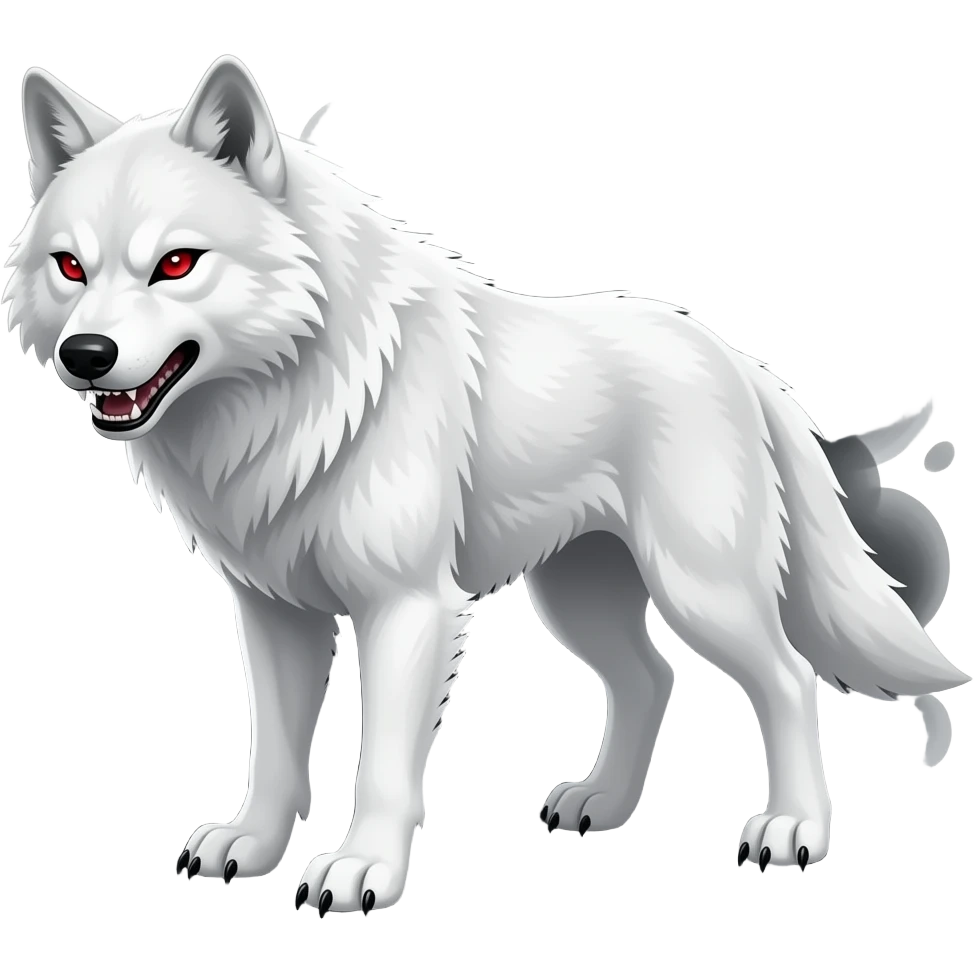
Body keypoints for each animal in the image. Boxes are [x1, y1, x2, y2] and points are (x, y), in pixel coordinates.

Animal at [5, 56, 967, 912]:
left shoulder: (407, 609)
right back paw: (602, 806)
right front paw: (253, 845)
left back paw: (794, 830)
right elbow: (273, 751)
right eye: (70, 267)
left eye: (175, 263)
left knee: (789, 677)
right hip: (576, 599)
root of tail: (736, 360)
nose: (85, 355)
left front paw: (362, 872)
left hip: (701, 591)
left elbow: (380, 764)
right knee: (651, 680)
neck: (303, 394)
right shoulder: (273, 612)